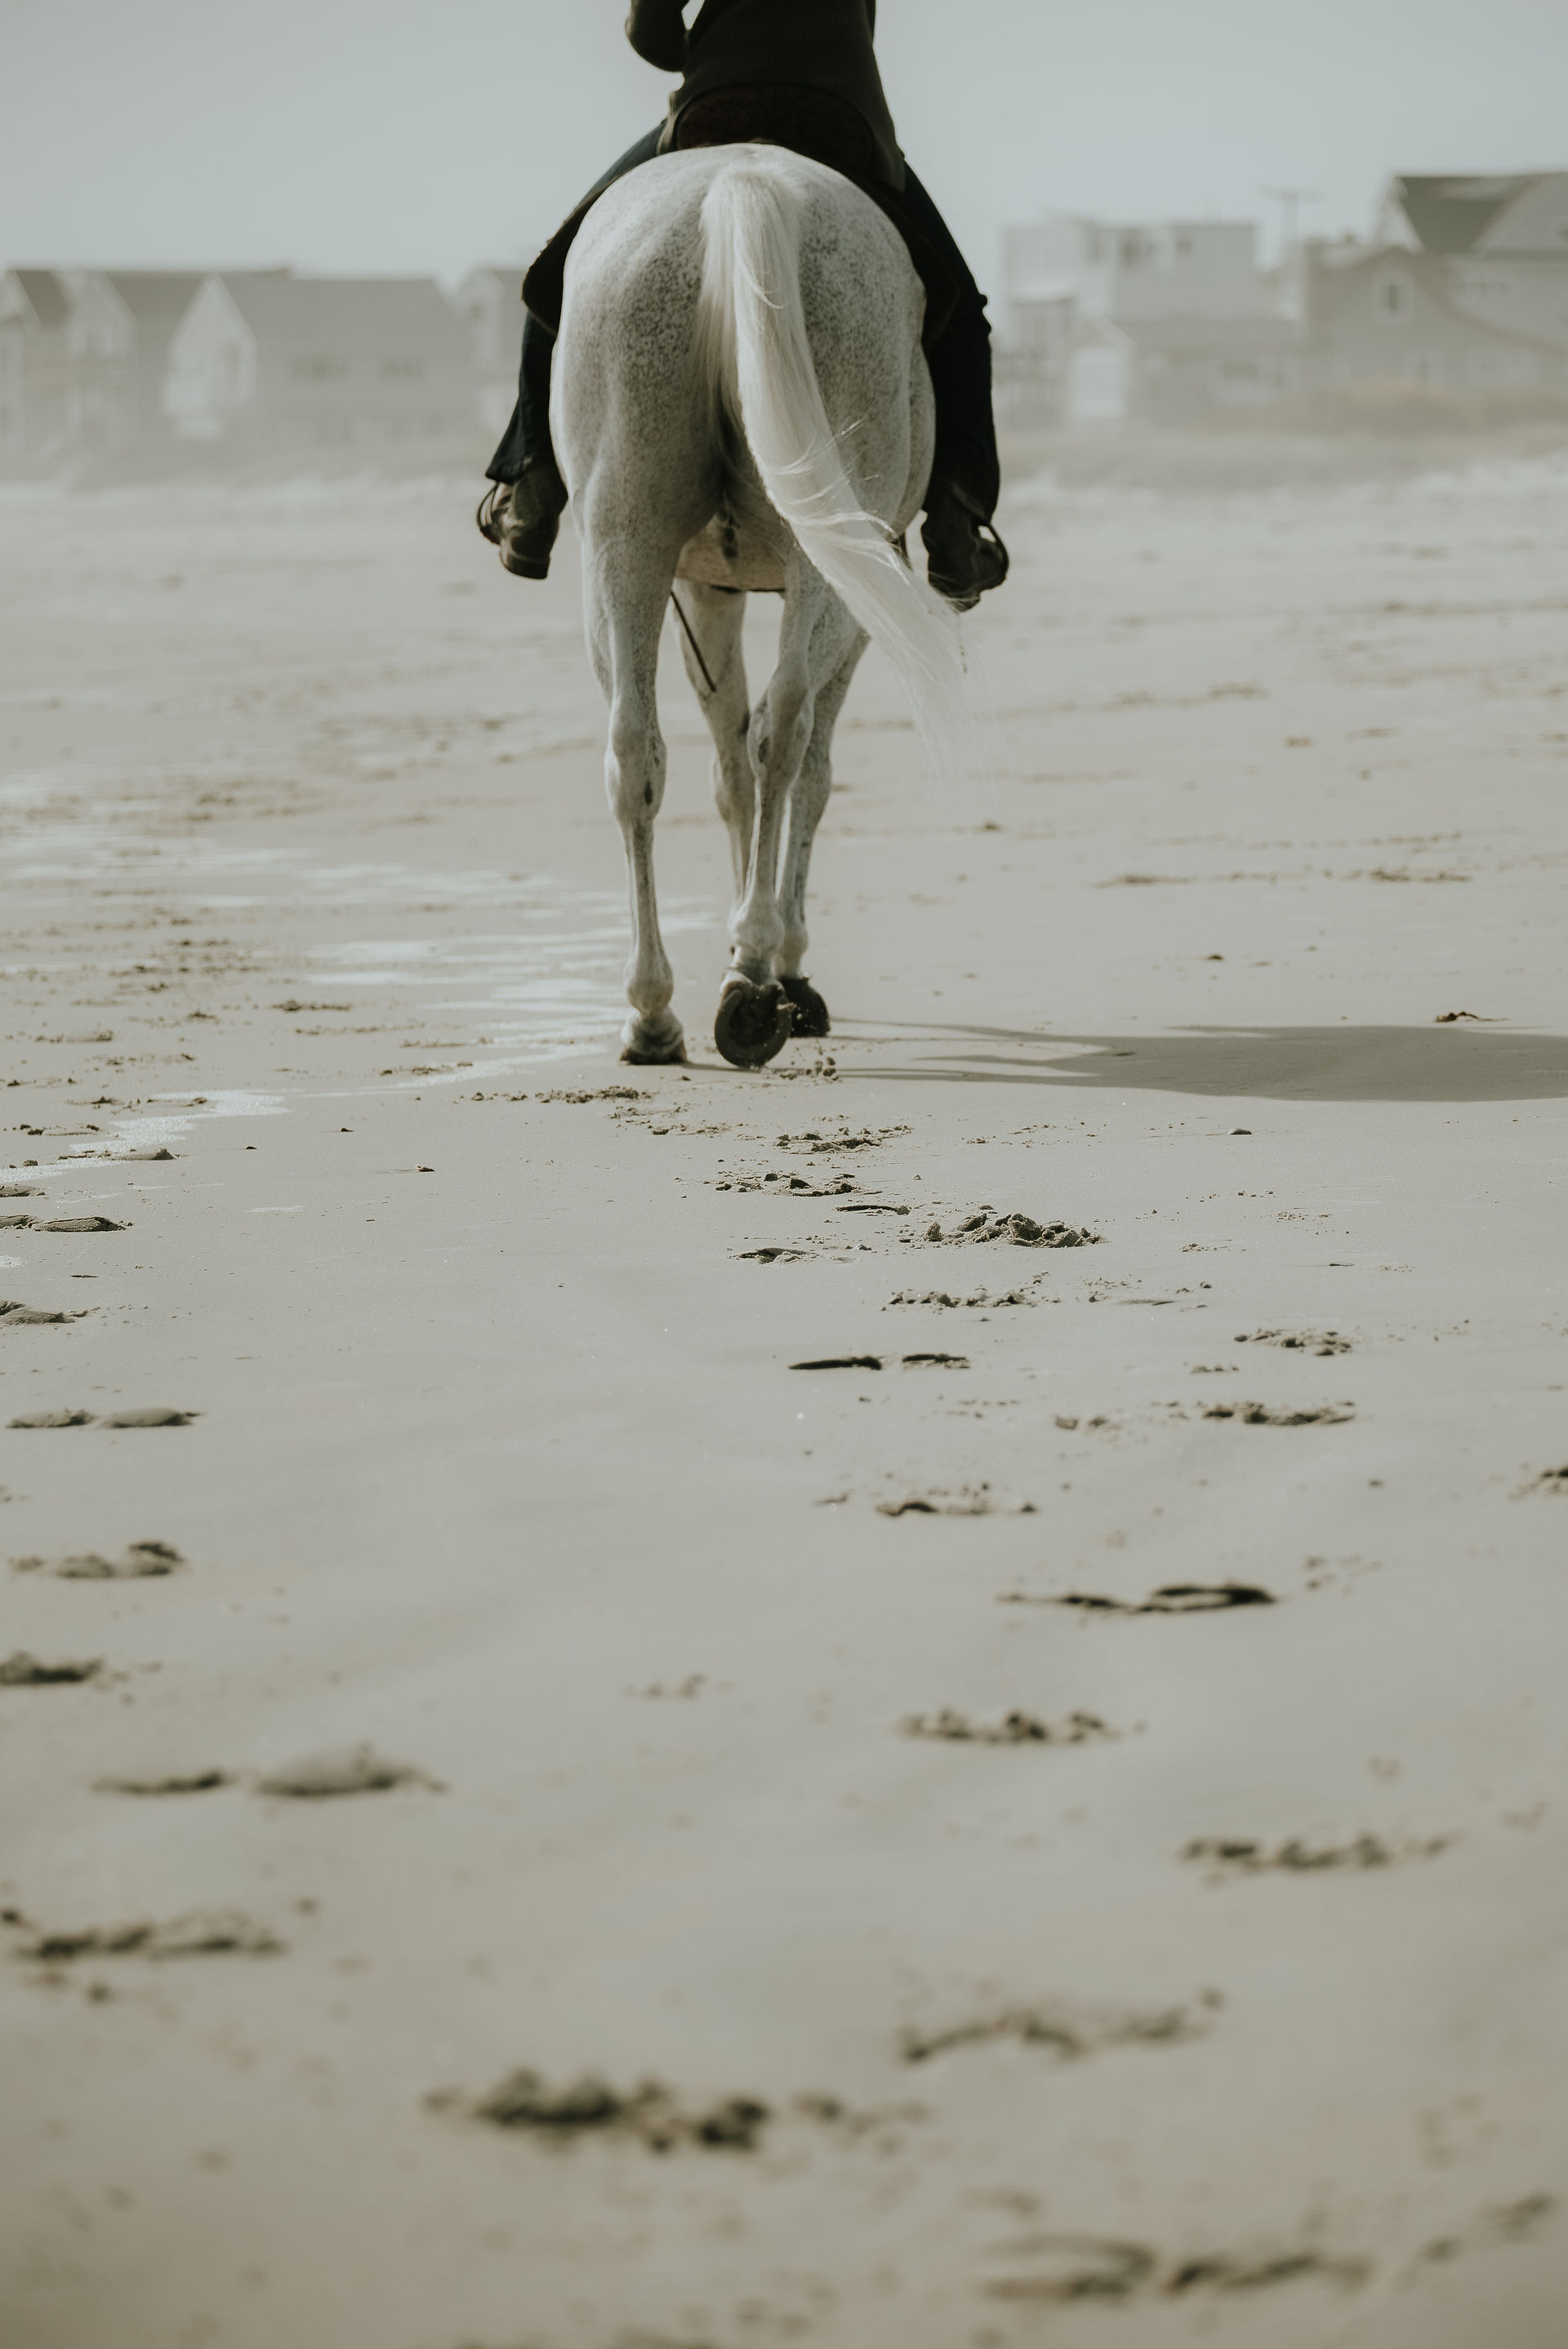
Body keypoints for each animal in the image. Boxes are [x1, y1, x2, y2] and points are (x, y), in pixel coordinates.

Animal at [553, 140, 968, 1069]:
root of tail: (737, 187)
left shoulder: (705, 588)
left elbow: (727, 771)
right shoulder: (854, 605)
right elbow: (806, 773)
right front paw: (790, 958)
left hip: (624, 542)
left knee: (637, 752)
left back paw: (655, 1009)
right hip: (822, 557)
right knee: (785, 734)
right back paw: (752, 970)